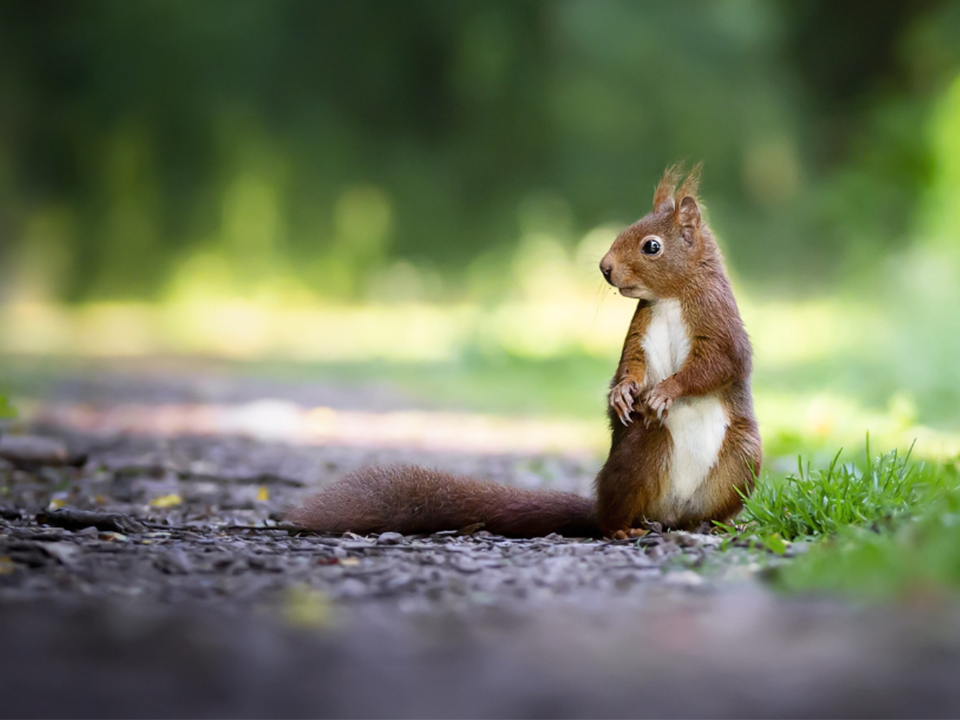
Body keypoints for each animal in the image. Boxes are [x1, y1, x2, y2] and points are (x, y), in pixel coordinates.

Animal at [287, 164, 761, 539]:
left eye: (652, 246)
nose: (605, 267)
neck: (671, 298)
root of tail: (670, 513)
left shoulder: (719, 323)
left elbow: (717, 365)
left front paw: (665, 391)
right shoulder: (640, 331)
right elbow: (631, 365)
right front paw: (623, 393)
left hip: (742, 457)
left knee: (705, 509)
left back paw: (716, 524)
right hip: (643, 451)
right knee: (616, 513)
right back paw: (623, 528)